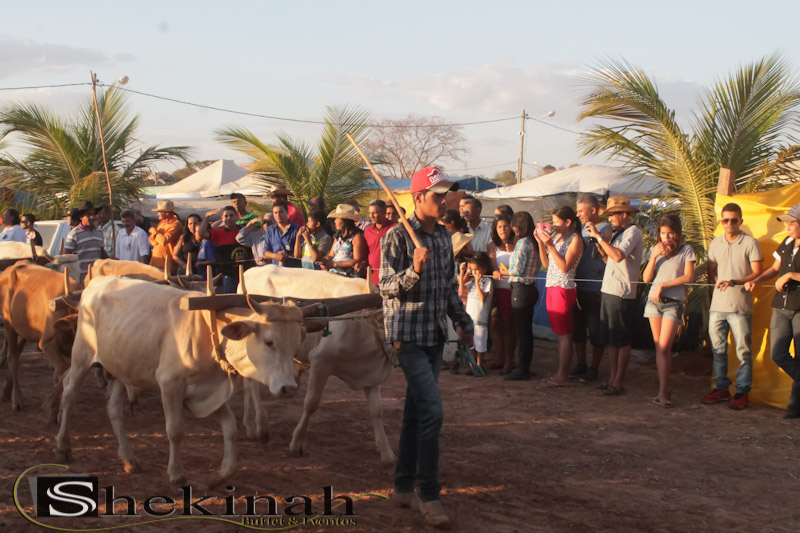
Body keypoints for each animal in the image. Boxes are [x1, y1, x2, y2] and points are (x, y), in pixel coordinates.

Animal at [0, 262, 80, 422]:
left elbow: (62, 375)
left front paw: (58, 409)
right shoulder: (46, 344)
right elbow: (61, 371)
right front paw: (51, 407)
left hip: (25, 329)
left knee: (17, 354)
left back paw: (6, 390)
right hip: (8, 324)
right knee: (12, 358)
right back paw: (16, 400)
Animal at [56, 276, 306, 486]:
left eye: (295, 345)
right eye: (269, 342)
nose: (289, 388)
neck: (210, 333)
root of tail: (97, 281)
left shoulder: (209, 391)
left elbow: (230, 428)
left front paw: (222, 474)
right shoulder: (169, 385)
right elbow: (175, 430)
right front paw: (176, 474)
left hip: (120, 367)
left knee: (114, 409)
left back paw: (129, 460)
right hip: (81, 357)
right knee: (68, 393)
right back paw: (63, 446)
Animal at [240, 265, 396, 466]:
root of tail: (252, 270)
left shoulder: (370, 373)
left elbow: (377, 411)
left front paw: (386, 452)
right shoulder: (321, 361)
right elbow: (311, 403)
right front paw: (296, 443)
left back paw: (249, 424)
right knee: (250, 383)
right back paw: (260, 426)